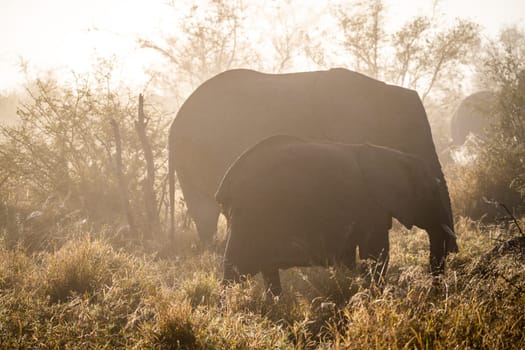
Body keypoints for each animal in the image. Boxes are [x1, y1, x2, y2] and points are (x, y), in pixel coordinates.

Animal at [215, 135, 456, 294]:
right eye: (432, 192)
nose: (435, 294)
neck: (393, 156)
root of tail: (224, 186)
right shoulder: (370, 207)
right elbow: (376, 254)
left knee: (265, 270)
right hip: (250, 217)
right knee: (236, 271)